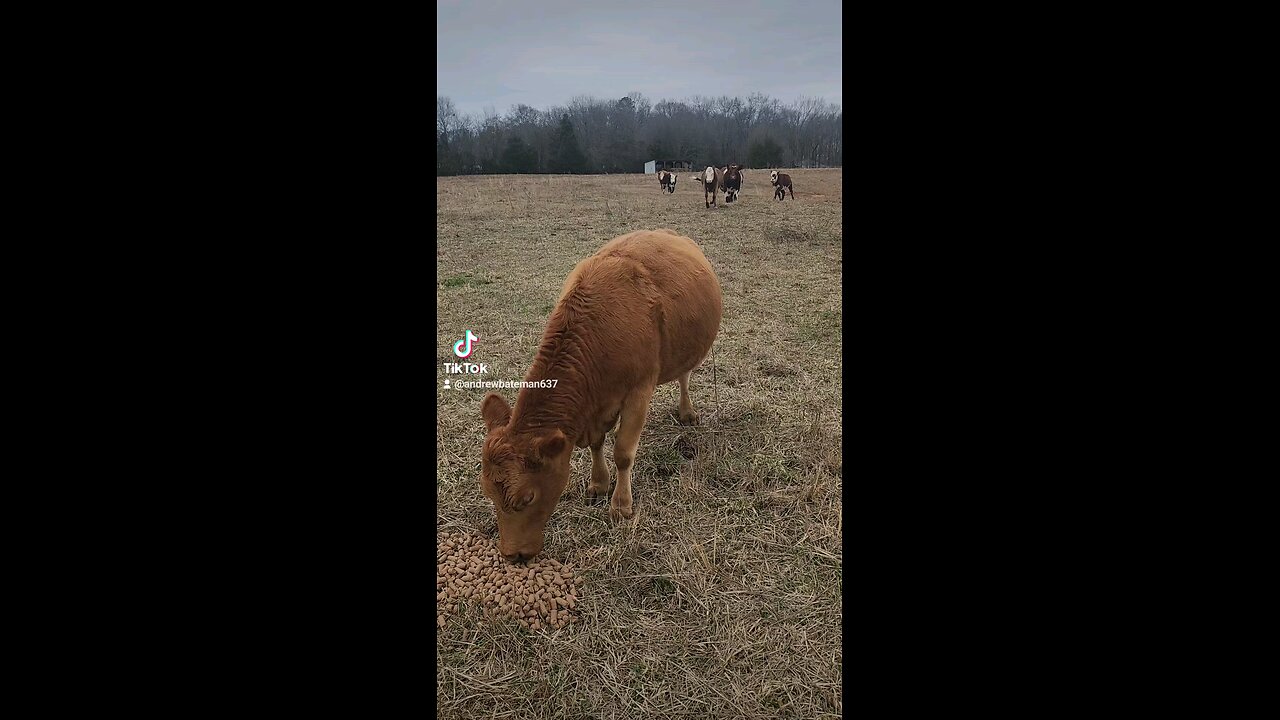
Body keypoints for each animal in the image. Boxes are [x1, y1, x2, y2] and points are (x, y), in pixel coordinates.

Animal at [478, 229, 721, 561]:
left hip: (688, 351)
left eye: (528, 497)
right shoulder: (594, 410)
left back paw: (686, 412)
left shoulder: (638, 392)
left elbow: (623, 453)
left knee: (684, 375)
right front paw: (599, 483)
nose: (512, 555)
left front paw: (621, 505)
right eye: (488, 492)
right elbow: (596, 443)